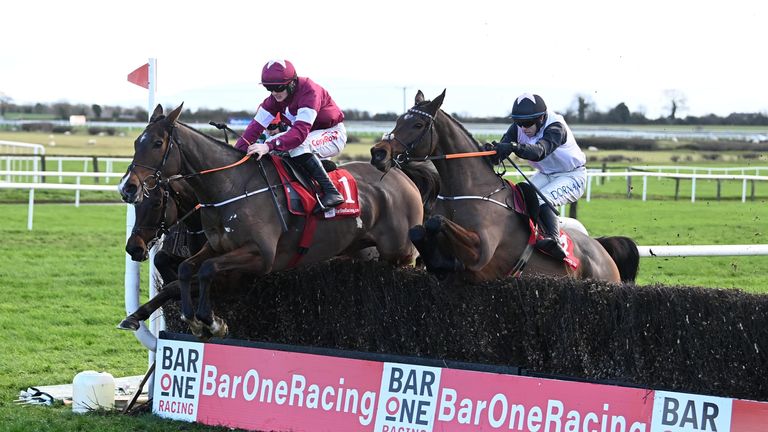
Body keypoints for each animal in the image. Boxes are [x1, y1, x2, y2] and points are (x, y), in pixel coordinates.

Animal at [118, 104, 426, 338]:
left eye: (157, 143)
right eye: (135, 142)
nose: (127, 187)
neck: (230, 187)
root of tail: (400, 175)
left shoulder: (257, 259)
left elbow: (205, 270)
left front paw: (211, 321)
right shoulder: (216, 248)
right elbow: (182, 272)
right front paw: (165, 317)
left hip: (399, 252)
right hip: (361, 251)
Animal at [368, 90, 640, 284]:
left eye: (418, 125)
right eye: (398, 120)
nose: (378, 153)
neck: (467, 191)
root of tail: (602, 250)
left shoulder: (481, 250)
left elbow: (437, 223)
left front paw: (447, 263)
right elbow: (418, 230)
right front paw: (439, 263)